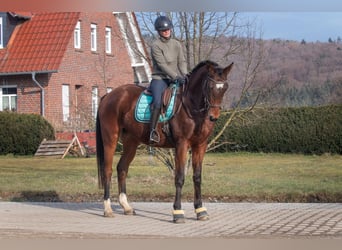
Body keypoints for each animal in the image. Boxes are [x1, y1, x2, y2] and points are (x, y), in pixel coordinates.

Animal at [97, 60, 234, 223]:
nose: (213, 117)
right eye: (210, 87)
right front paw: (178, 212)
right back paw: (107, 209)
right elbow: (179, 177)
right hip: (110, 139)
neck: (191, 105)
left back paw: (127, 207)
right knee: (108, 170)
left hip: (131, 142)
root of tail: (109, 95)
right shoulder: (182, 145)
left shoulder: (200, 145)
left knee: (122, 168)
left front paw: (200, 210)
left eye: (225, 88)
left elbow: (197, 177)